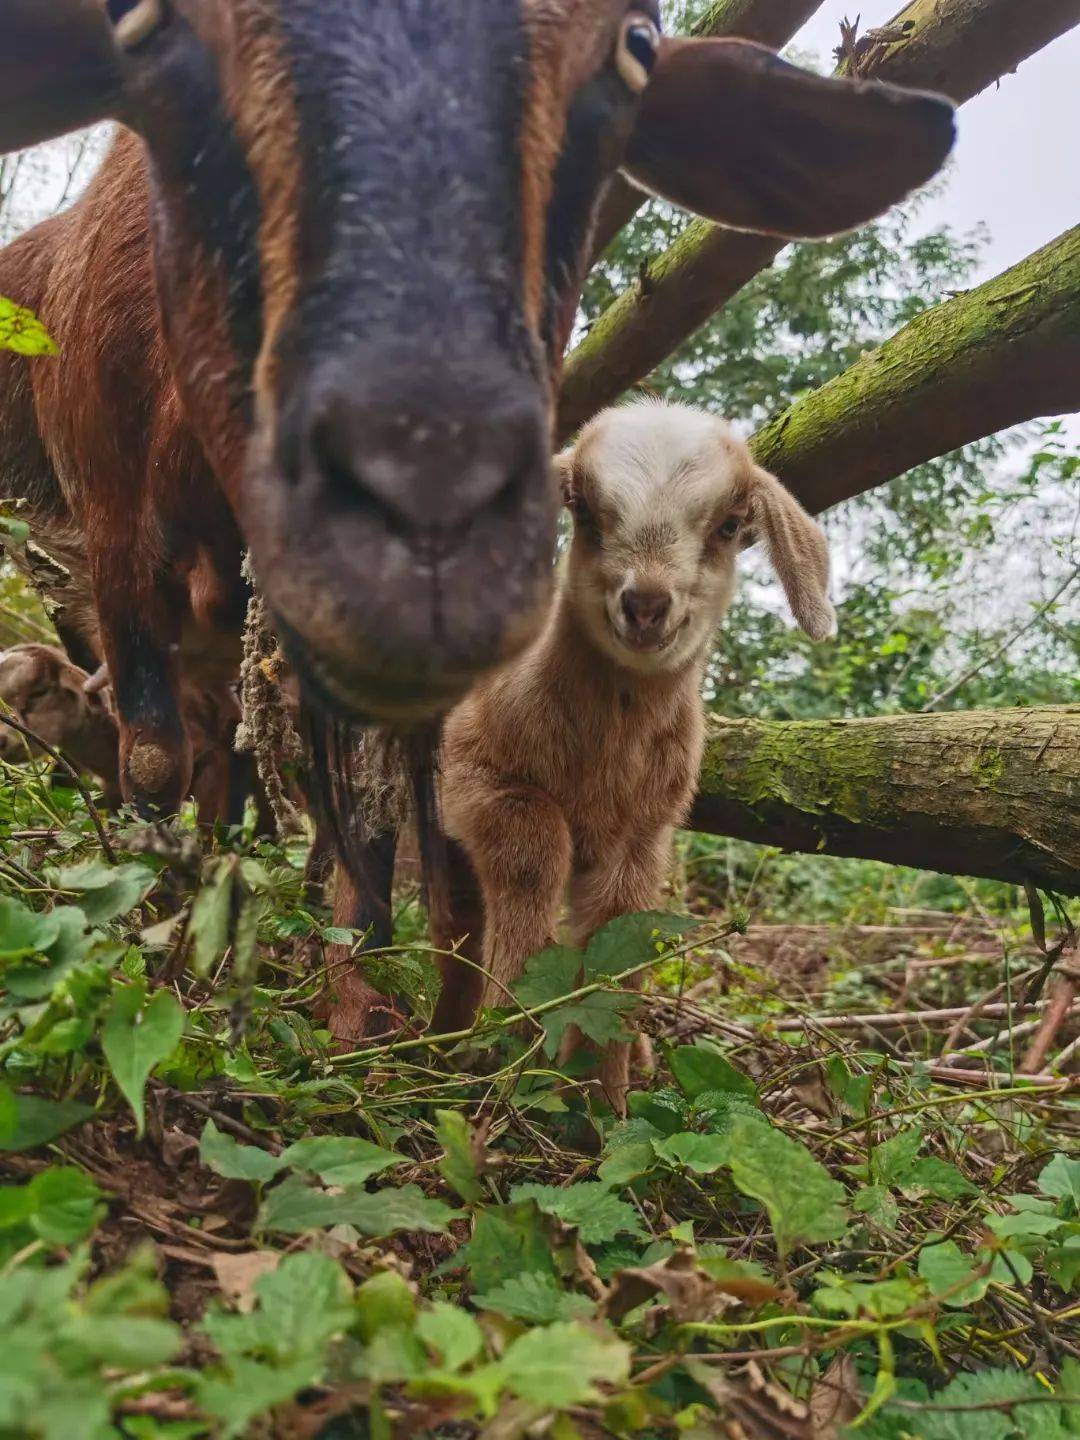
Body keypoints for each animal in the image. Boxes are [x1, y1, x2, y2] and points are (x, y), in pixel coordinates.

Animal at [0, 0, 956, 1025]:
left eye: (637, 48)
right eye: (140, 25)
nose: (433, 493)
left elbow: (385, 826)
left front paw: (378, 1014)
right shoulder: (119, 536)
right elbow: (155, 762)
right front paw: (153, 965)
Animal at [432, 406, 835, 1111]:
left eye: (729, 525)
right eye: (585, 511)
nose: (645, 604)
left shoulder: (646, 833)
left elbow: (623, 936)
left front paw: (600, 1095)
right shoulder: (476, 775)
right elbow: (534, 851)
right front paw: (512, 1044)